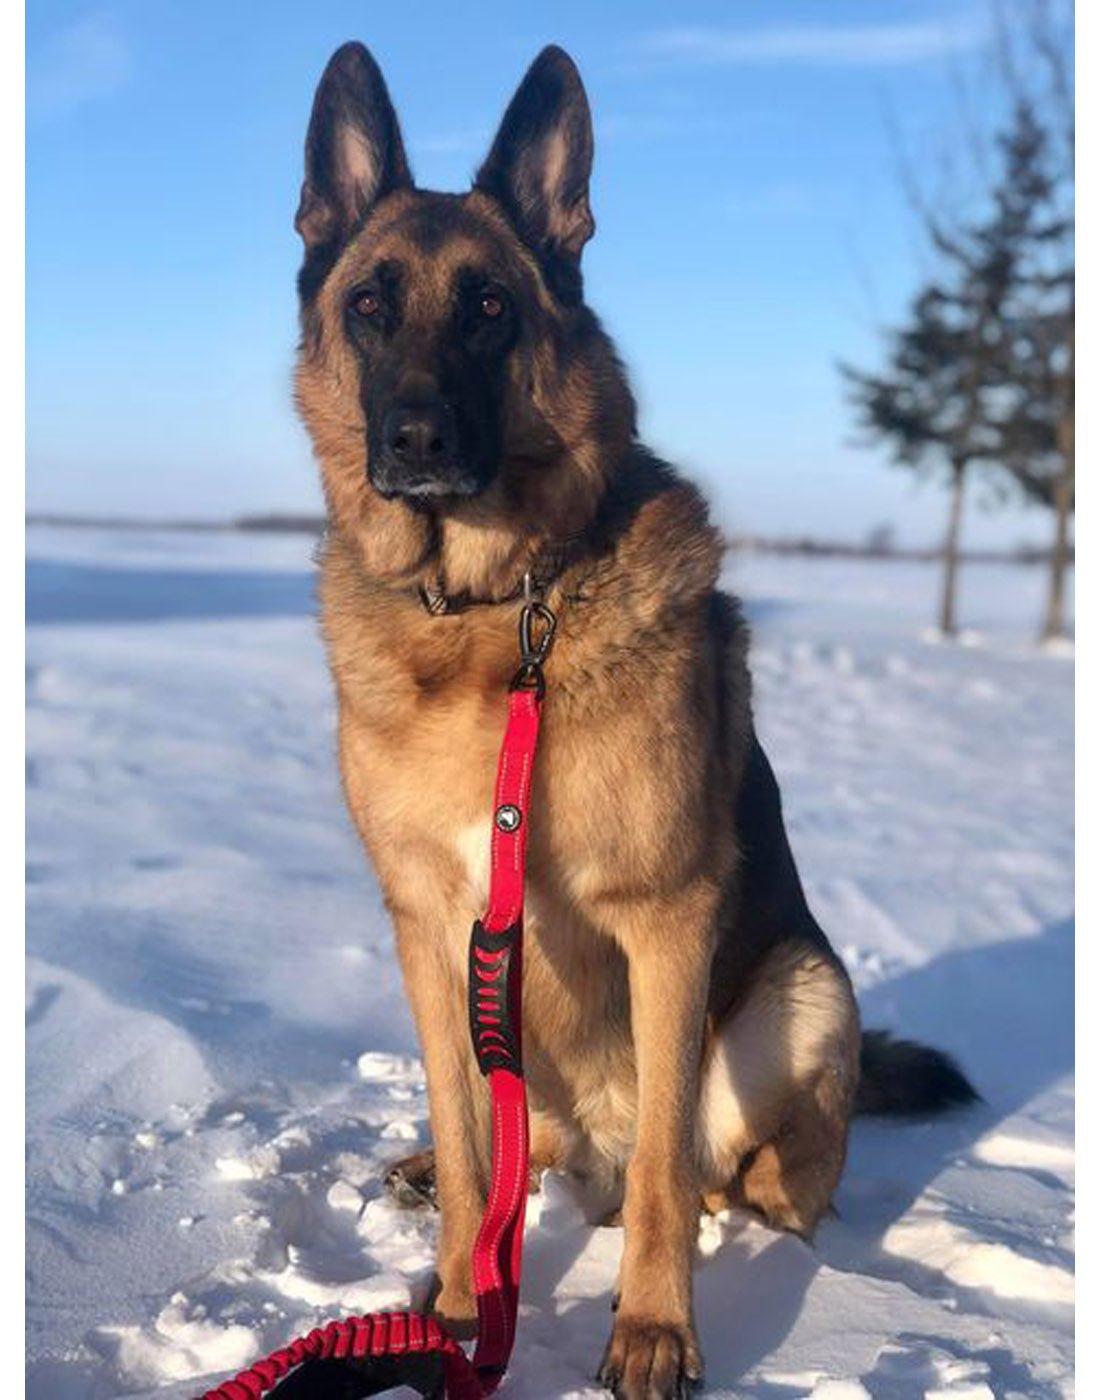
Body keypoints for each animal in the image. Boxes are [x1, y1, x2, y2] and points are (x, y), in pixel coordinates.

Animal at [293, 40, 979, 1388]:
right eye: (369, 304)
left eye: (490, 307)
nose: (414, 438)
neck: (496, 612)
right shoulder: (427, 925)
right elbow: (469, 1142)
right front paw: (457, 1307)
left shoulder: (667, 921)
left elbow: (665, 1173)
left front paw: (655, 1328)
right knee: (525, 1147)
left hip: (799, 992)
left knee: (726, 1178)